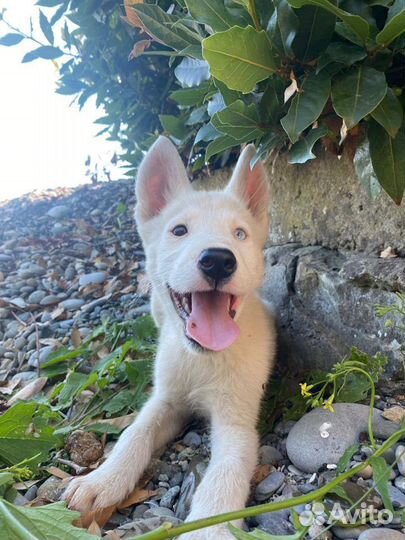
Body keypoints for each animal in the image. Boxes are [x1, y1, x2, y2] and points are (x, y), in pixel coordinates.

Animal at [64, 137, 276, 536]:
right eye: (179, 231)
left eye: (239, 234)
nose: (218, 260)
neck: (202, 359)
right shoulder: (164, 401)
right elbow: (133, 434)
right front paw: (102, 480)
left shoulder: (236, 421)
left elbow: (225, 471)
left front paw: (209, 528)